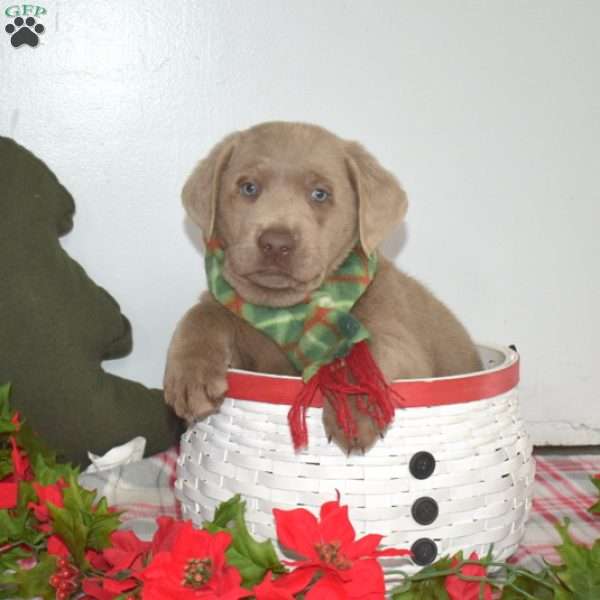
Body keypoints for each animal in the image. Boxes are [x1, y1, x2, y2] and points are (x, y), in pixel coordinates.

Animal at [164, 120, 482, 450]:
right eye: (248, 188)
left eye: (320, 194)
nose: (276, 243)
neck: (286, 314)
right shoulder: (245, 354)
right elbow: (202, 313)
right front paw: (191, 375)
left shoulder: (405, 345)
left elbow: (364, 354)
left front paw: (355, 412)